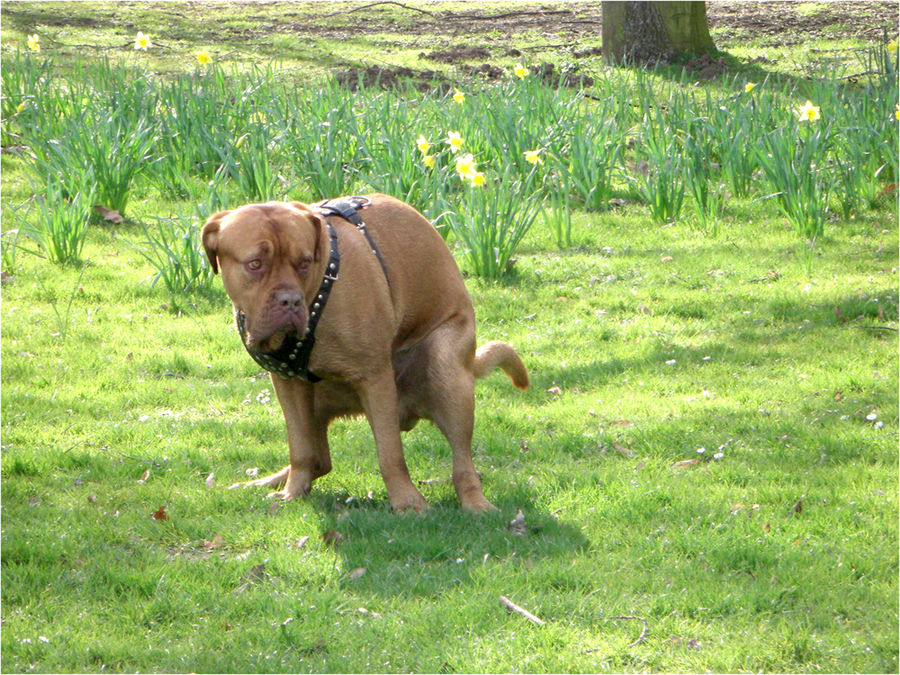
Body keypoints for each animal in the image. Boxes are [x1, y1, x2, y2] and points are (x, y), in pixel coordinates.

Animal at [204, 194, 528, 512]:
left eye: (304, 262)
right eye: (255, 264)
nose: (289, 301)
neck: (319, 292)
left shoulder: (375, 378)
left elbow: (390, 454)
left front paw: (408, 502)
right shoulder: (287, 383)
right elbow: (300, 449)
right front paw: (292, 492)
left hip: (445, 369)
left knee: (462, 461)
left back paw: (476, 503)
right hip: (317, 399)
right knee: (318, 458)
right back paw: (270, 481)